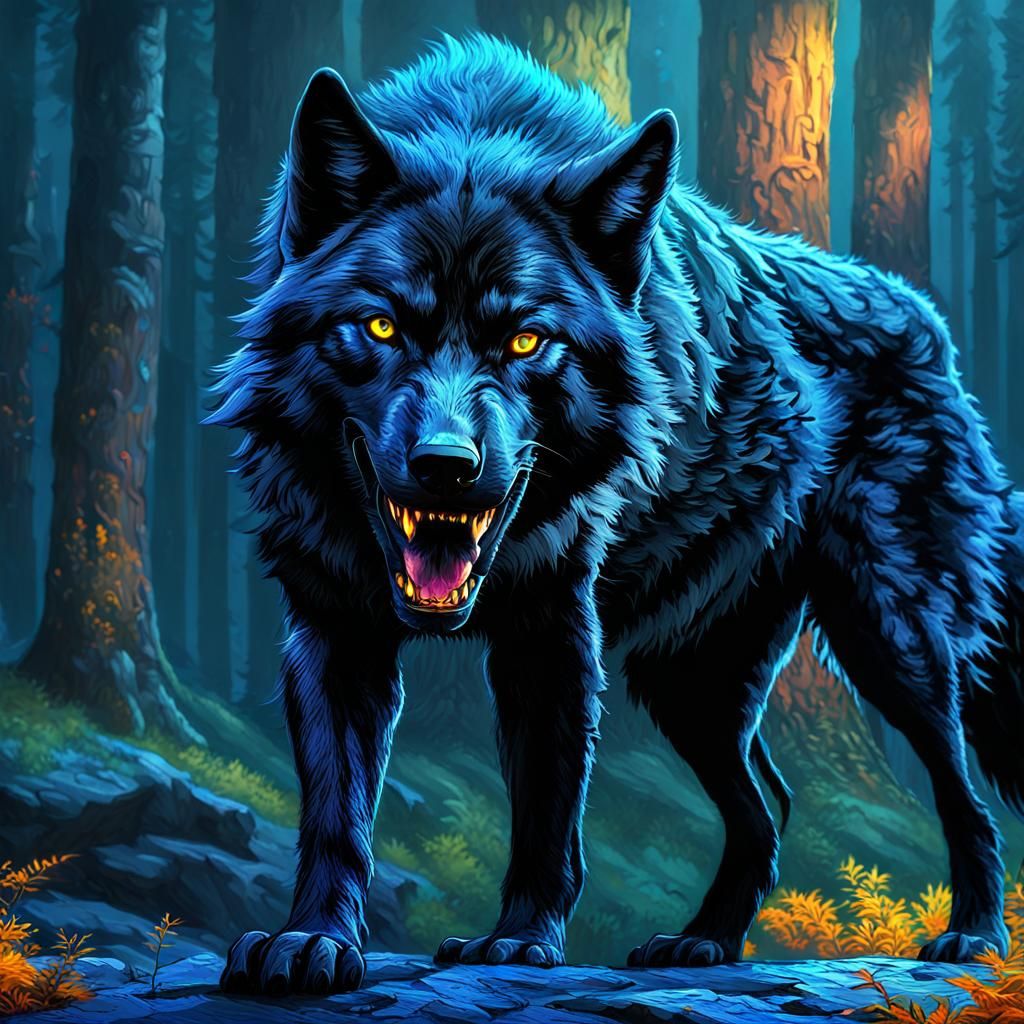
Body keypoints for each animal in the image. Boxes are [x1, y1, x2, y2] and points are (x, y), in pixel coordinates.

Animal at [212, 36, 1024, 995]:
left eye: (526, 340)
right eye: (379, 328)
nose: (447, 469)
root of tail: (927, 318)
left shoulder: (553, 631)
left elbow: (546, 808)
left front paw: (518, 943)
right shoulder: (334, 632)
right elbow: (336, 813)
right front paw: (313, 941)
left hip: (889, 641)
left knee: (964, 795)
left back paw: (973, 936)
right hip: (688, 683)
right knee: (771, 806)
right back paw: (704, 942)